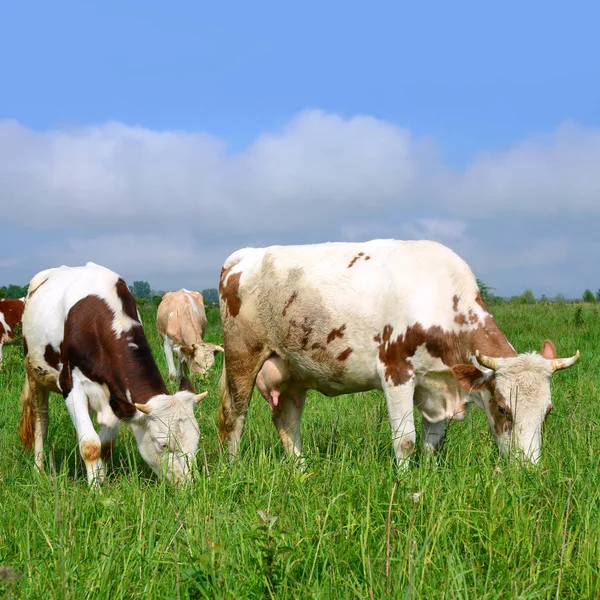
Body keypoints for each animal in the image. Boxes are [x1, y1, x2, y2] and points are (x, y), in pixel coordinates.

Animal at [18, 262, 209, 488]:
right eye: (163, 444)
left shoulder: (117, 393)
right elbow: (90, 445)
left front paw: (100, 479)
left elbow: (105, 444)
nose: (187, 485)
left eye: (196, 440)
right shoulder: (72, 386)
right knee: (41, 421)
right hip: (34, 373)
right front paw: (94, 490)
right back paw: (39, 469)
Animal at [219, 239, 580, 468]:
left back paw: (302, 470)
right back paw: (232, 470)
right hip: (242, 357)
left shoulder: (435, 383)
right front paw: (406, 487)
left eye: (548, 411)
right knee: (232, 417)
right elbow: (404, 441)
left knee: (286, 421)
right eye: (504, 409)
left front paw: (430, 478)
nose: (528, 470)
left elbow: (433, 442)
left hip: (293, 370)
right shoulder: (396, 373)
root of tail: (245, 256)